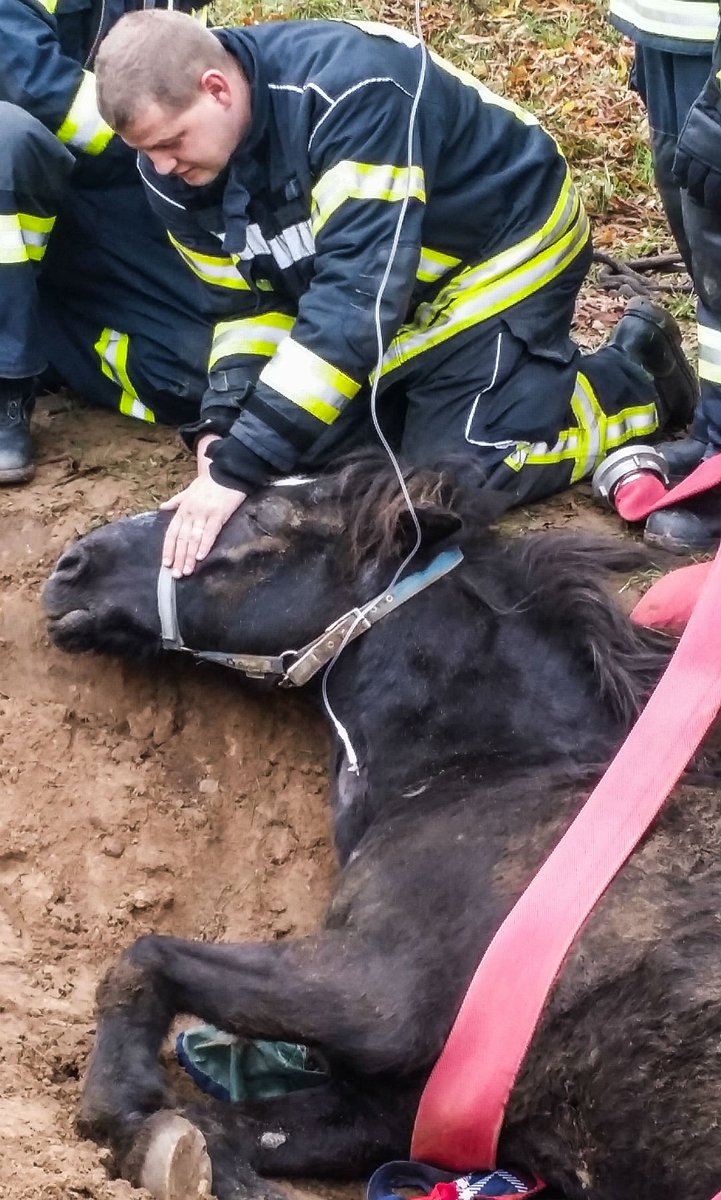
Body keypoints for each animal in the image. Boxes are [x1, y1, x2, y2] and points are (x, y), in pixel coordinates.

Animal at [43, 454, 721, 1200]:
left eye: (261, 518)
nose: (72, 564)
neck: (492, 773)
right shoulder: (387, 1106)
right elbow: (219, 1124)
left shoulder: (376, 993)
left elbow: (144, 959)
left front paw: (121, 1100)